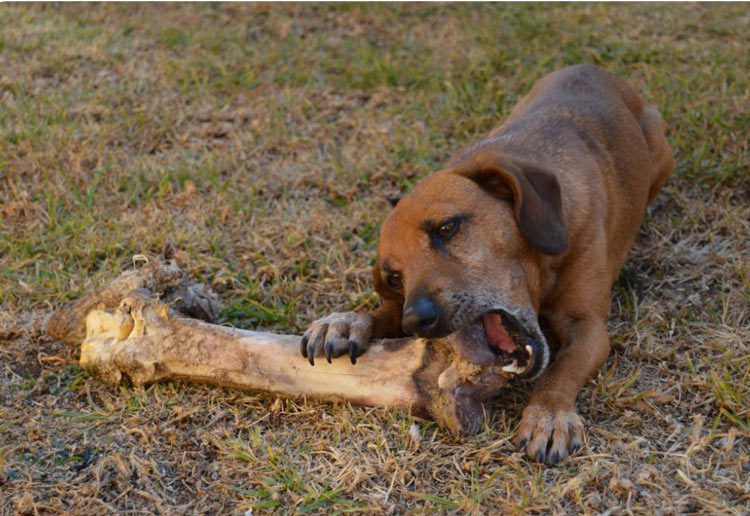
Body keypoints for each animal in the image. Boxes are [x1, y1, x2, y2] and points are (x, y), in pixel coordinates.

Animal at [300, 64, 676, 464]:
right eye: (395, 277)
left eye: (446, 228)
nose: (415, 321)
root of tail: (594, 69)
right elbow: (382, 313)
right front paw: (347, 322)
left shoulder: (588, 328)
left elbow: (561, 370)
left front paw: (548, 414)